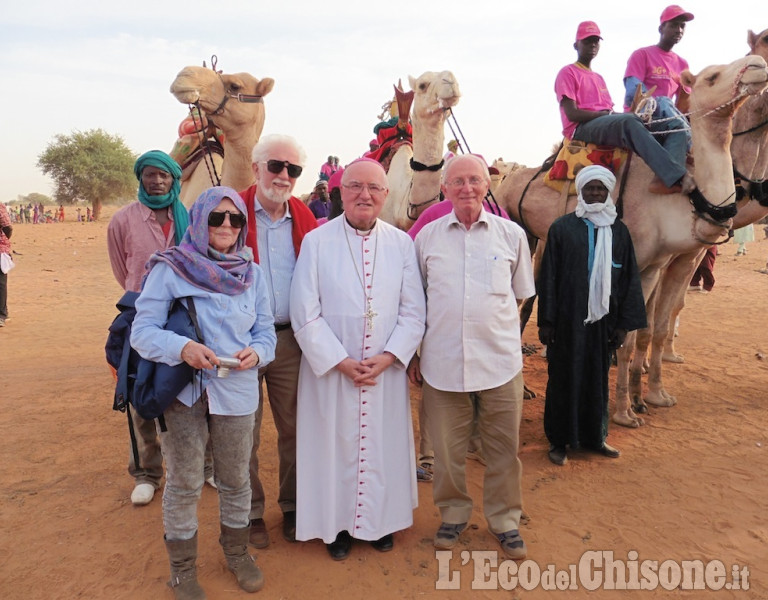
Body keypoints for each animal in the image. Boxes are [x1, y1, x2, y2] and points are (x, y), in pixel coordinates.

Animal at [492, 52, 768, 426]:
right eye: (712, 77)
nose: (757, 65)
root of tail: (505, 181)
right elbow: (629, 334)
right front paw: (624, 410)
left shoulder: (659, 264)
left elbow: (646, 330)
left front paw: (645, 399)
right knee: (522, 304)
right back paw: (522, 387)